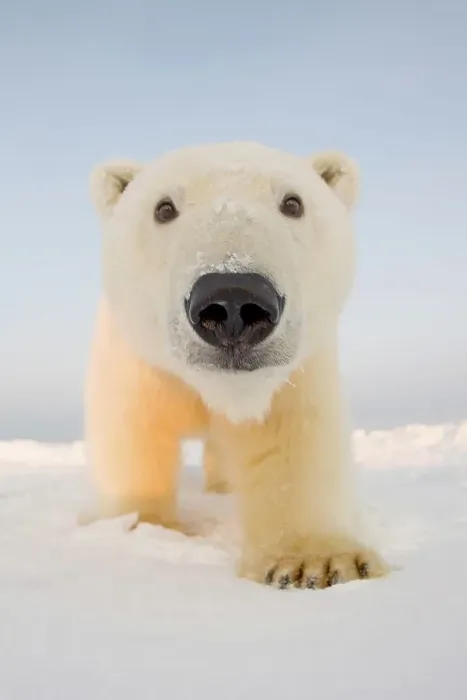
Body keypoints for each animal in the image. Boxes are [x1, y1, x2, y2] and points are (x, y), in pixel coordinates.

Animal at [83, 141, 389, 589]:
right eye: (163, 208)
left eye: (293, 202)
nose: (232, 300)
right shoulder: (139, 360)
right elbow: (134, 432)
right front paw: (140, 525)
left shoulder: (292, 373)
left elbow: (292, 439)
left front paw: (318, 562)